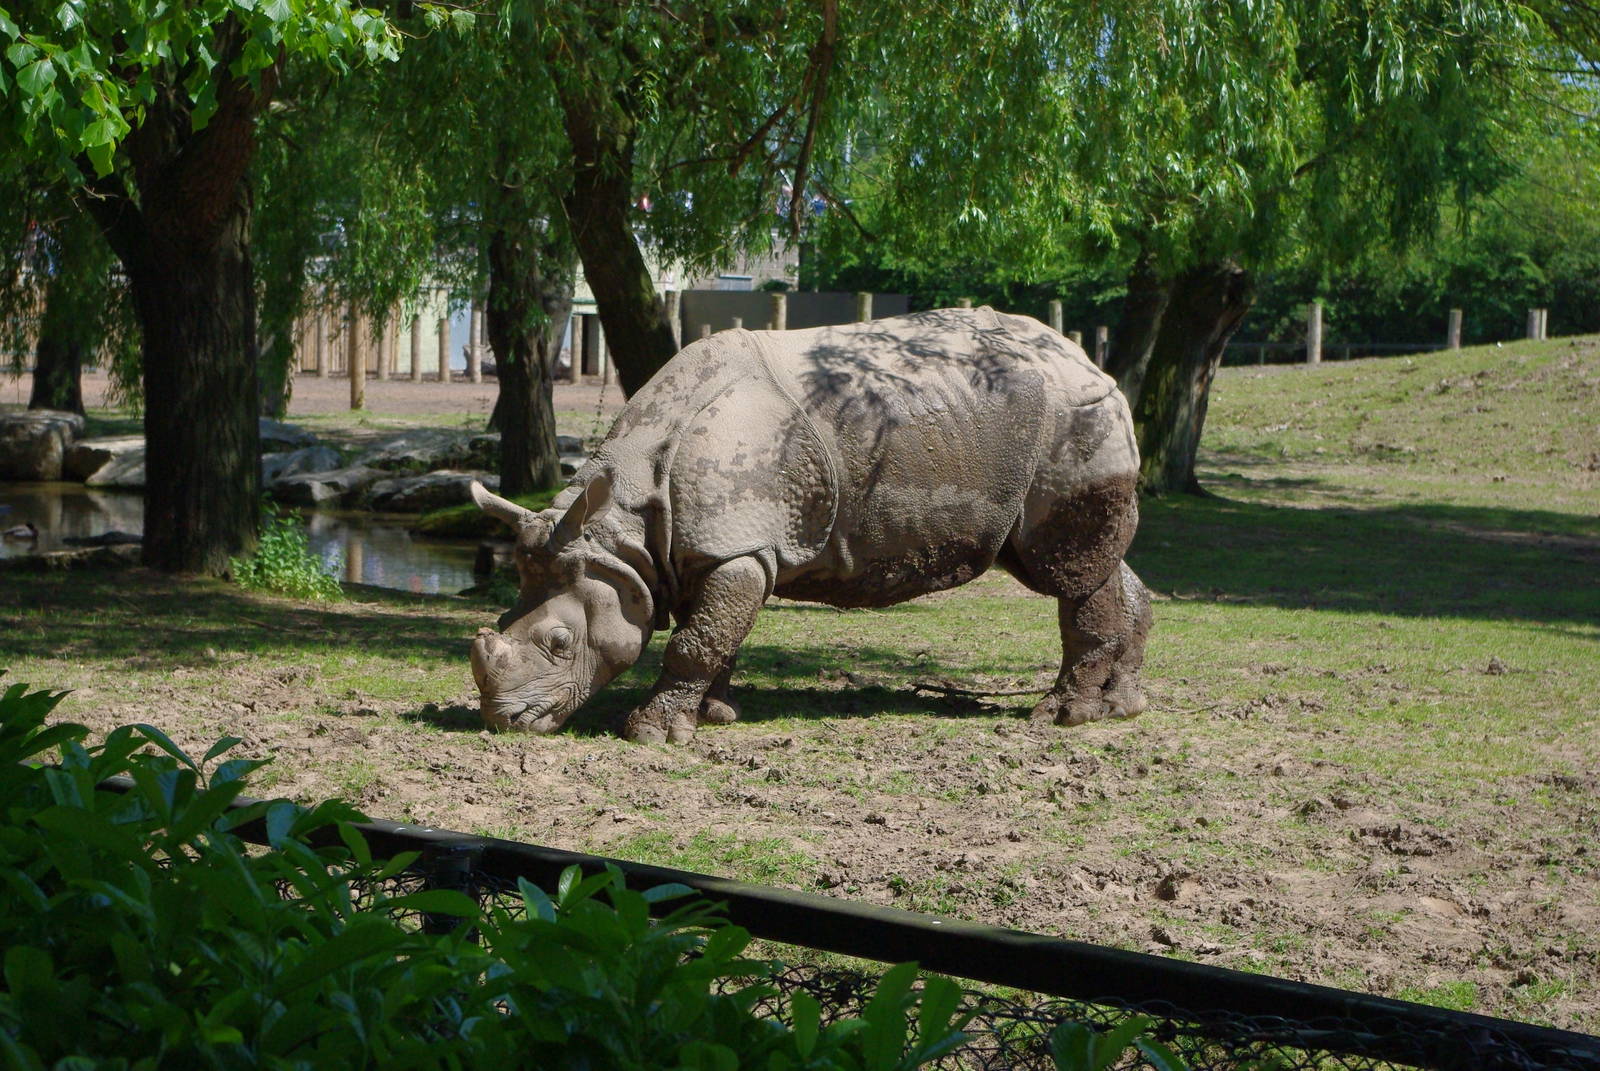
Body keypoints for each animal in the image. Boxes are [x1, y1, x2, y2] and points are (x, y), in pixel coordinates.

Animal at [469, 307, 1151, 744]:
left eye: (560, 643)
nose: (503, 721)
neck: (621, 533)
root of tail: (1091, 362)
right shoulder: (704, 547)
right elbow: (715, 632)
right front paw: (714, 715)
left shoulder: (737, 548)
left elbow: (696, 641)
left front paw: (652, 735)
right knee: (1094, 562)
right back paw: (1122, 708)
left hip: (1073, 416)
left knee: (1066, 573)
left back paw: (1062, 718)